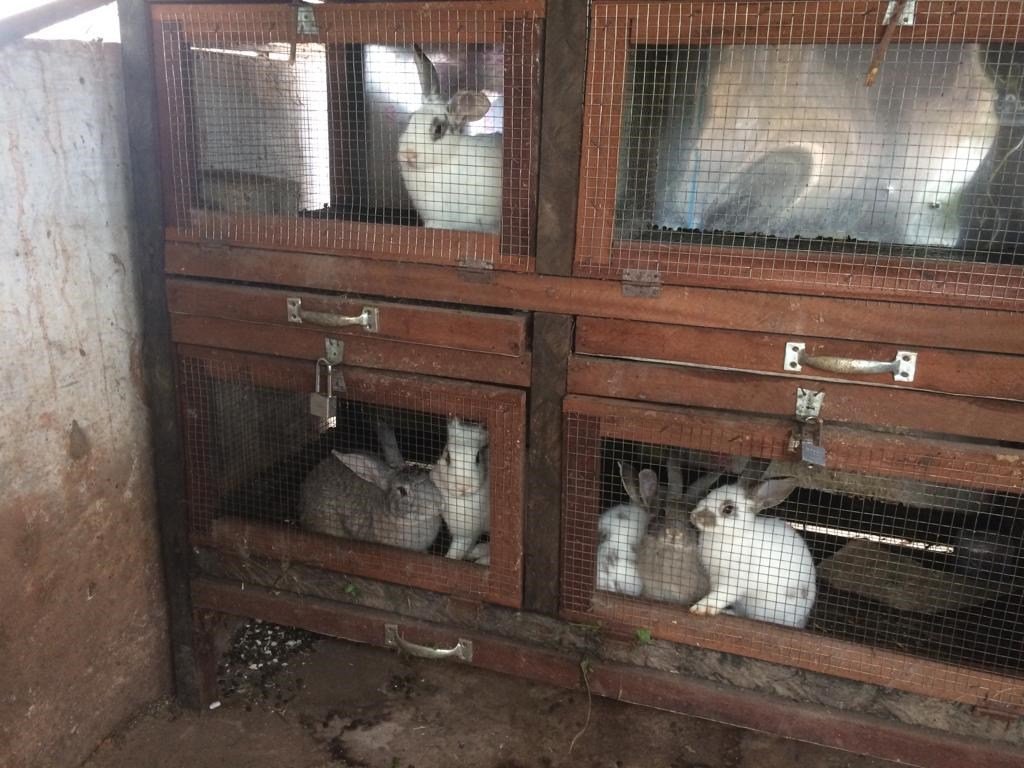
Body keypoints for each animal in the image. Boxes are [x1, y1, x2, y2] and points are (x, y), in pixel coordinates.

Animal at [689, 477, 817, 628]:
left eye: (728, 509)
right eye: (710, 492)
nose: (694, 516)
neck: (733, 536)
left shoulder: (734, 581)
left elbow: (721, 595)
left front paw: (700, 608)